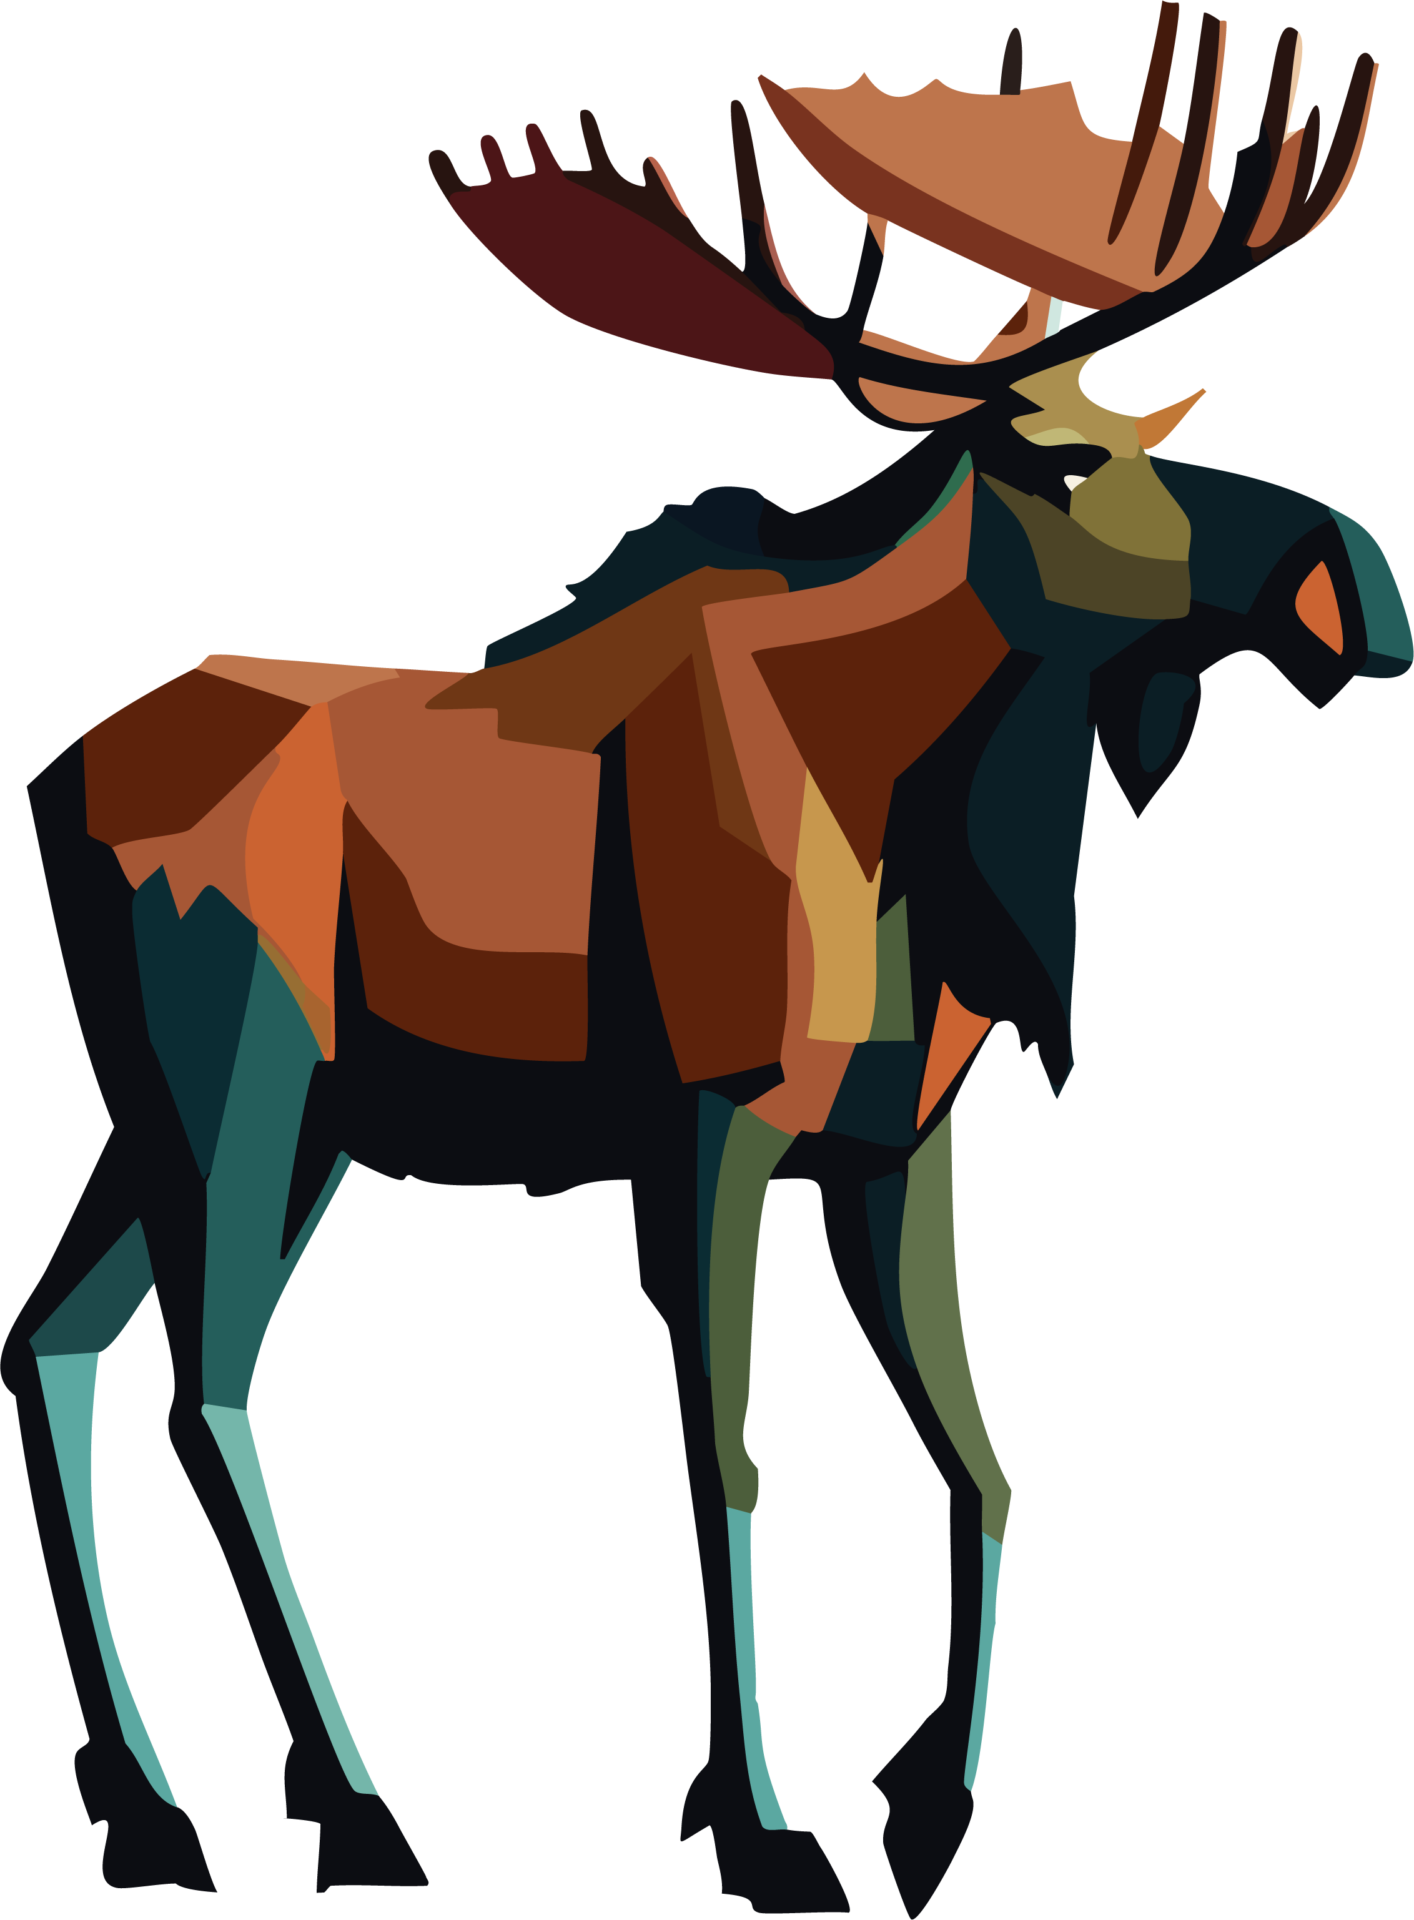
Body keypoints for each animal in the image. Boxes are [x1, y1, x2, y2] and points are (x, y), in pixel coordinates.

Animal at [4, 10, 1408, 1907]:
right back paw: (354, 1805)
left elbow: (982, 1459)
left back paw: (151, 1808)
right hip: (246, 1075)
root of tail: (50, 786)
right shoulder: (709, 1113)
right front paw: (760, 1828)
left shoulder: (900, 1140)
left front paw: (926, 1805)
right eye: (1056, 458)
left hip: (226, 1118)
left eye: (1154, 423)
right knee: (208, 1381)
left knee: (56, 1341)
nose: (1356, 585)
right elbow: (728, 1455)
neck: (909, 819)